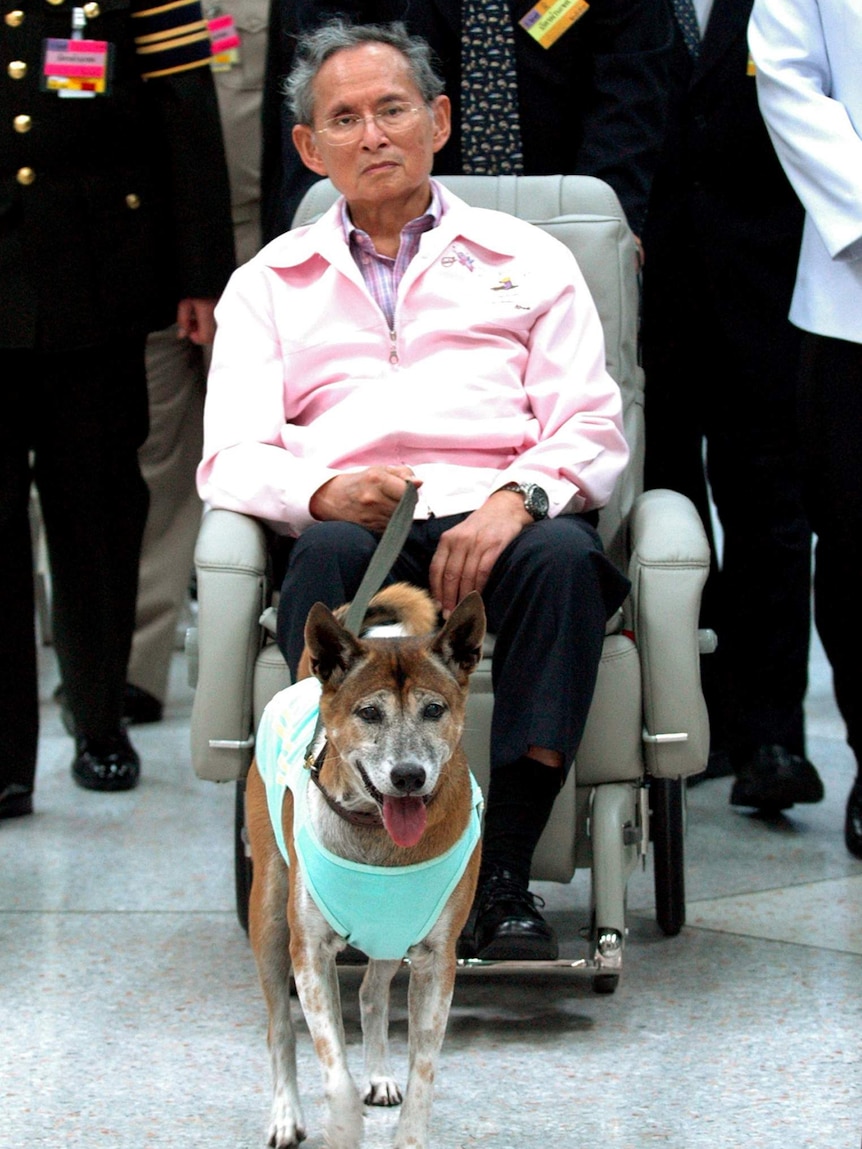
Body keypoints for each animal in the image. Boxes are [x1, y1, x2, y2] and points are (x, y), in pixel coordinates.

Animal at [244, 583, 487, 1149]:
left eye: (435, 709)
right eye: (369, 713)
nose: (408, 776)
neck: (378, 837)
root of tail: (304, 681)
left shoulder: (437, 960)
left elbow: (424, 1070)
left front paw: (408, 1131)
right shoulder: (309, 951)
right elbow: (333, 1069)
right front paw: (341, 1124)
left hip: (391, 934)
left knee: (372, 996)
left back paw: (377, 1074)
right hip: (268, 912)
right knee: (280, 1028)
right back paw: (285, 1114)